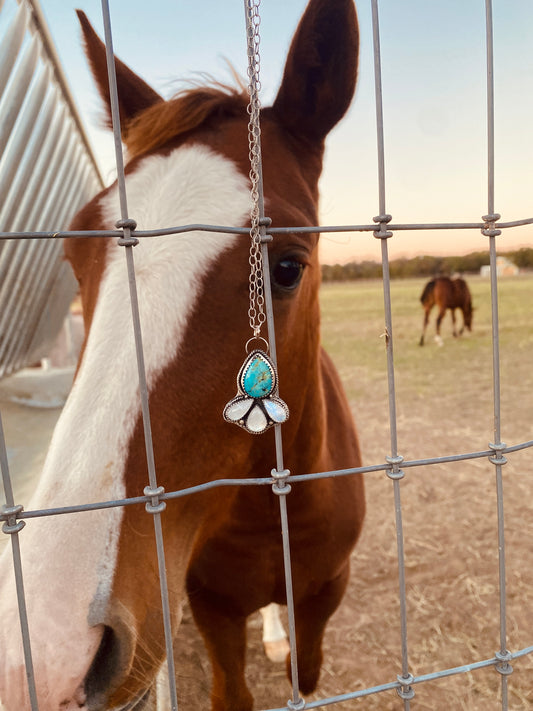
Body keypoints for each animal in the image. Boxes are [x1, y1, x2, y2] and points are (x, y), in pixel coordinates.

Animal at [0, 1, 366, 711]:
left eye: (286, 267)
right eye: (75, 256)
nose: (47, 659)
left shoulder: (322, 598)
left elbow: (304, 676)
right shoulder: (211, 606)